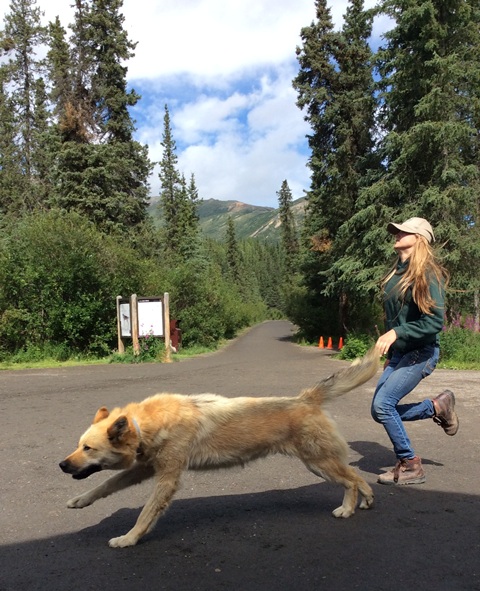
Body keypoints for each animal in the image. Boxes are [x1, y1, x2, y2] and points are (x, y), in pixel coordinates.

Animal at [59, 350, 378, 548]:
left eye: (88, 448)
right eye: (78, 446)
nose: (61, 465)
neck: (144, 424)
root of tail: (306, 398)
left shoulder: (166, 479)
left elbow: (145, 514)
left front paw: (128, 539)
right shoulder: (144, 469)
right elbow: (106, 485)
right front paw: (81, 500)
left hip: (318, 464)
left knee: (350, 481)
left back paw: (347, 508)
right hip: (321, 463)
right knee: (358, 477)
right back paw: (367, 500)